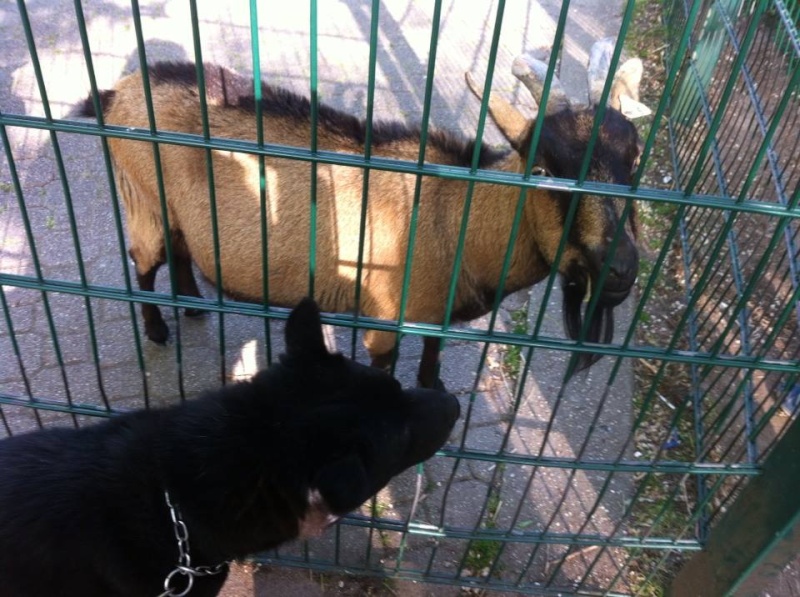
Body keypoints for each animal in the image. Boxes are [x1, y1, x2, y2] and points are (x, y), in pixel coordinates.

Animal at [79, 39, 644, 388]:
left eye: (635, 159)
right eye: (544, 169)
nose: (619, 269)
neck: (453, 216)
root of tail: (115, 93)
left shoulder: (435, 313)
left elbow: (434, 352)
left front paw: (434, 384)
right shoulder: (388, 317)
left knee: (178, 244)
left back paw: (194, 305)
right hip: (140, 194)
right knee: (144, 257)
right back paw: (157, 329)